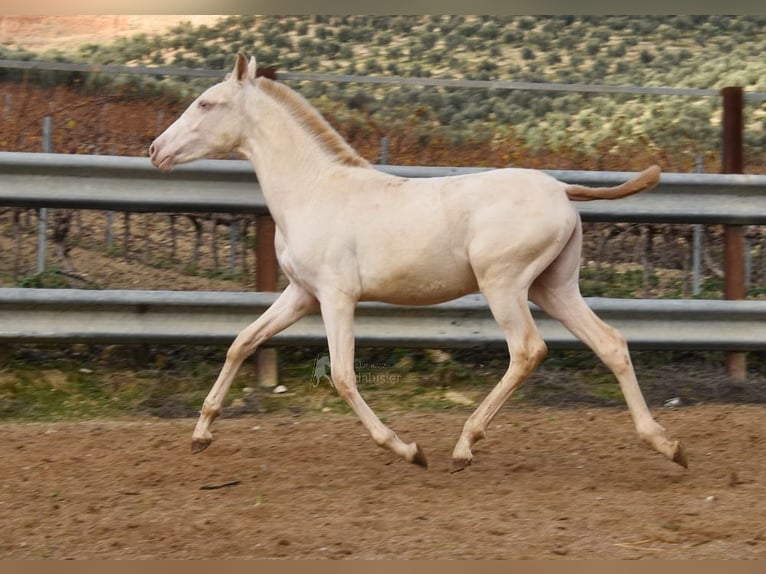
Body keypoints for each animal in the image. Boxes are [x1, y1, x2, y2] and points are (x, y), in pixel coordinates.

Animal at [150, 54, 688, 474]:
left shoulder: (336, 297)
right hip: (553, 287)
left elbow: (342, 375)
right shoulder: (301, 294)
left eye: (206, 103)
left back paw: (464, 446)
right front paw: (201, 434)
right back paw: (667, 444)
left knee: (527, 350)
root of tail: (560, 188)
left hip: (505, 285)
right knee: (611, 343)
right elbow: (241, 342)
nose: (155, 150)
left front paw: (408, 449)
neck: (312, 190)